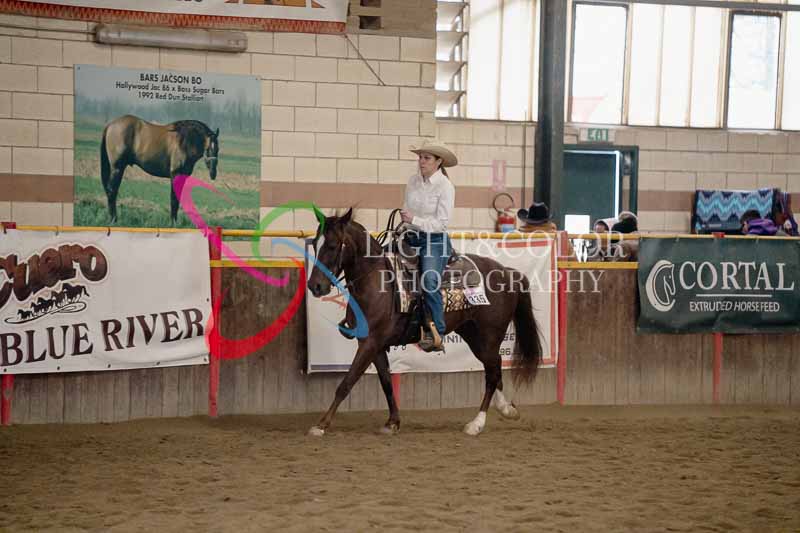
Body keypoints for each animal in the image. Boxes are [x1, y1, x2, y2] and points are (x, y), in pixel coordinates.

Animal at [305, 208, 543, 437]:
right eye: (314, 244)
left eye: (333, 245)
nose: (315, 286)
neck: (376, 280)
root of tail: (507, 272)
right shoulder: (376, 345)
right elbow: (386, 383)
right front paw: (392, 422)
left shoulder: (370, 342)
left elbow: (347, 383)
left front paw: (321, 425)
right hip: (474, 335)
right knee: (495, 369)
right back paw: (507, 409)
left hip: (489, 336)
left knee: (492, 374)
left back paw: (476, 424)